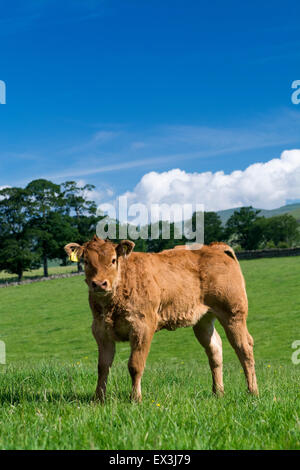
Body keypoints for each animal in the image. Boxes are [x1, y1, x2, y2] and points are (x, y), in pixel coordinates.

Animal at [65, 237, 258, 402]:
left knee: (244, 348)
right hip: (203, 320)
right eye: (86, 261)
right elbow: (103, 366)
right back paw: (218, 392)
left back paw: (252, 391)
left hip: (233, 313)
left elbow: (135, 365)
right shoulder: (100, 331)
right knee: (214, 349)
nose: (99, 284)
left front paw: (135, 398)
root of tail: (215, 247)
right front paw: (98, 399)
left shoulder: (142, 327)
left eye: (113, 260)